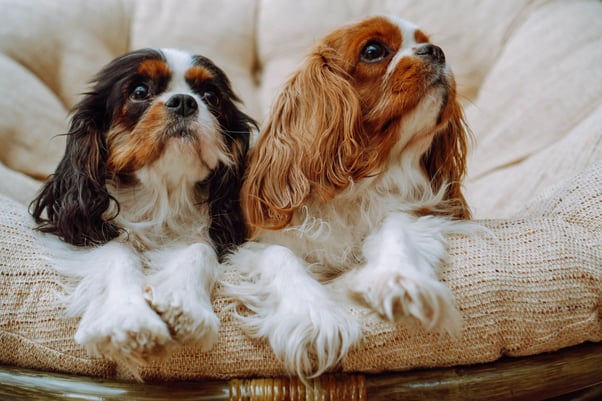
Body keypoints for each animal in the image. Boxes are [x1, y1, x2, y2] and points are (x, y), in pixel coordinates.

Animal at [31, 48, 255, 370]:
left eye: (211, 96)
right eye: (139, 92)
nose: (184, 101)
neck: (161, 194)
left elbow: (200, 249)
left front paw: (184, 306)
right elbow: (118, 251)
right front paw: (129, 319)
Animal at [225, 16, 474, 378]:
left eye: (424, 40)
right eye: (373, 51)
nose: (436, 50)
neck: (362, 181)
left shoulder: (414, 211)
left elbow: (396, 227)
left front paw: (399, 281)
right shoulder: (256, 246)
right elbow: (280, 257)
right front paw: (314, 315)